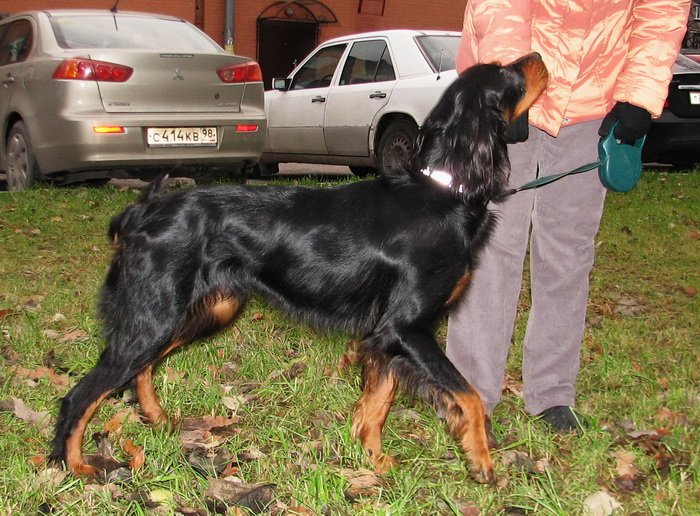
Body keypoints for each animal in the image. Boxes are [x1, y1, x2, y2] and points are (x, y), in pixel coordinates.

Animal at [50, 53, 548, 483]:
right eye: (505, 72)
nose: (538, 56)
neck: (442, 189)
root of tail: (143, 211)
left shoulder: (385, 335)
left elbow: (378, 401)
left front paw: (374, 459)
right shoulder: (408, 328)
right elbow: (469, 396)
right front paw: (482, 461)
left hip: (203, 310)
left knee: (140, 369)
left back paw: (159, 420)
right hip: (156, 314)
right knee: (84, 392)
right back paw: (74, 465)